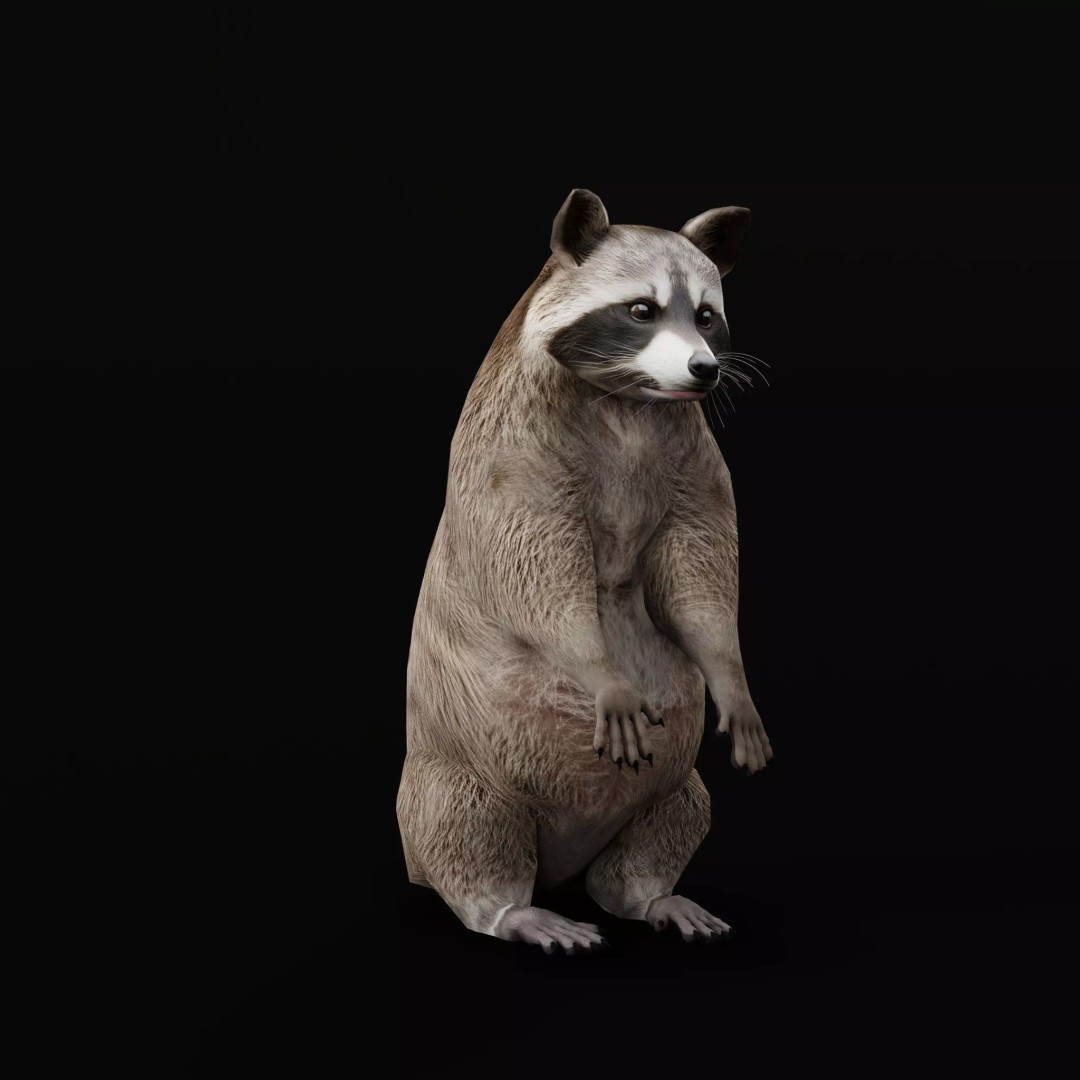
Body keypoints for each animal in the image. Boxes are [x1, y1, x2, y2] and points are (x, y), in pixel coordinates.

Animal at [397, 190, 773, 953]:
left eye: (707, 315)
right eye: (642, 309)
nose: (705, 370)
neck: (630, 400)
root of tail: (561, 867)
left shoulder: (692, 462)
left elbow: (701, 574)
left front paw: (731, 673)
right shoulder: (510, 450)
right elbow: (531, 569)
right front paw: (598, 666)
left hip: (666, 790)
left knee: (674, 816)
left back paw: (652, 895)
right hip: (458, 774)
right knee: (467, 826)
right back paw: (510, 909)